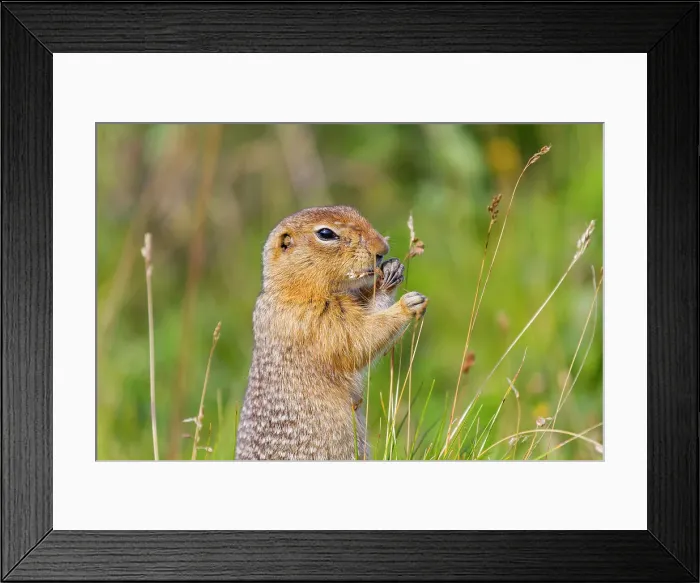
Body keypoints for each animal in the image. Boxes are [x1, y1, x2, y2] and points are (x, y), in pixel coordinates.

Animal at [235, 205, 428, 460]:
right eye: (325, 233)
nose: (382, 249)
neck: (294, 290)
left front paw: (391, 272)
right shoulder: (315, 321)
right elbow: (356, 339)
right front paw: (407, 305)